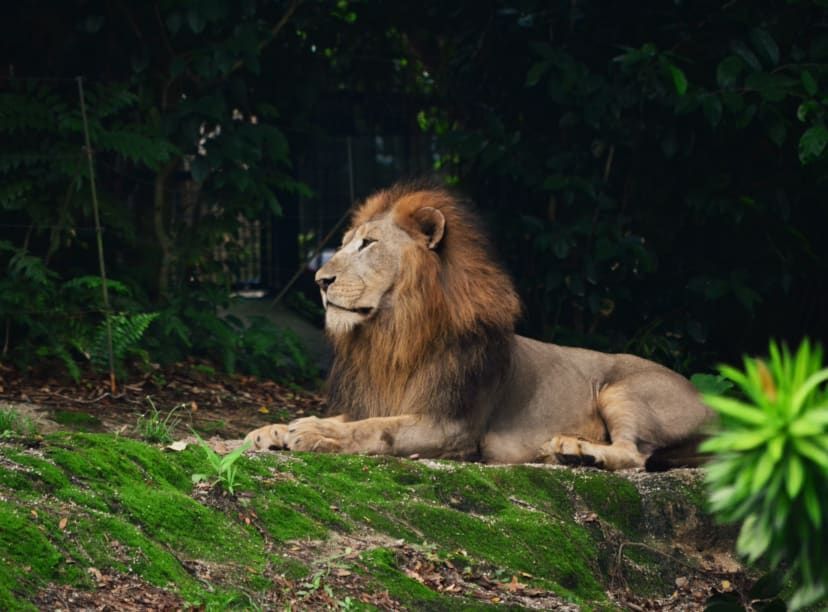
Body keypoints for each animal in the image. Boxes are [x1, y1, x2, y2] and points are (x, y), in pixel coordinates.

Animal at [244, 179, 712, 470]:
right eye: (341, 246)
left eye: (368, 244)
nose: (320, 281)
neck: (393, 334)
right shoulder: (379, 399)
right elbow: (356, 418)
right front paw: (270, 430)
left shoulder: (451, 426)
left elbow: (377, 430)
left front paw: (316, 432)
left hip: (624, 390)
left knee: (635, 456)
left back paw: (577, 450)